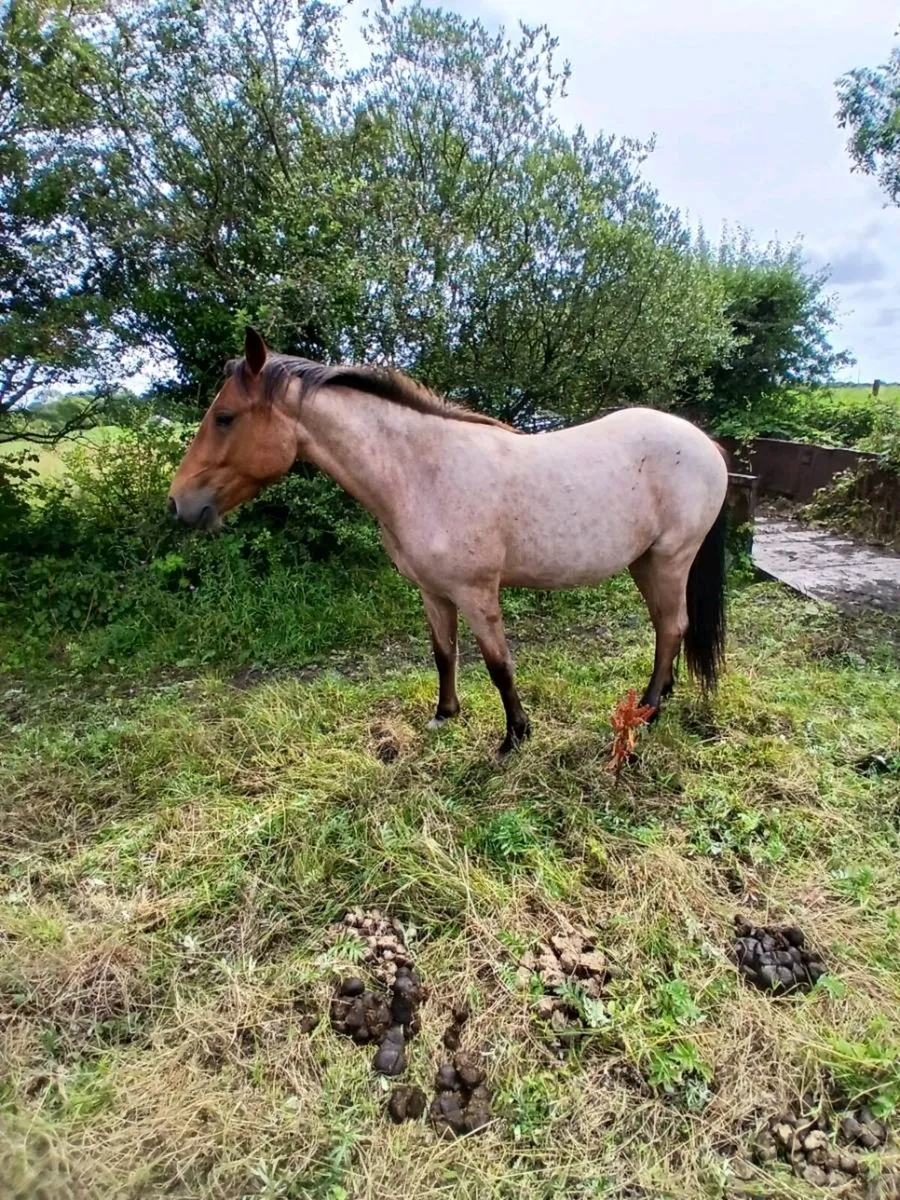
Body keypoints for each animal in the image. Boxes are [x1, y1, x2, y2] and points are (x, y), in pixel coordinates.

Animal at [168, 327, 728, 757]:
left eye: (224, 417)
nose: (178, 503)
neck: (422, 472)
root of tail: (707, 445)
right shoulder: (433, 592)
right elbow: (444, 653)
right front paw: (444, 716)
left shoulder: (477, 593)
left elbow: (499, 666)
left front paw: (513, 739)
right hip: (644, 562)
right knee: (665, 626)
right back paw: (659, 697)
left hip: (672, 557)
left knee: (673, 626)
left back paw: (648, 712)